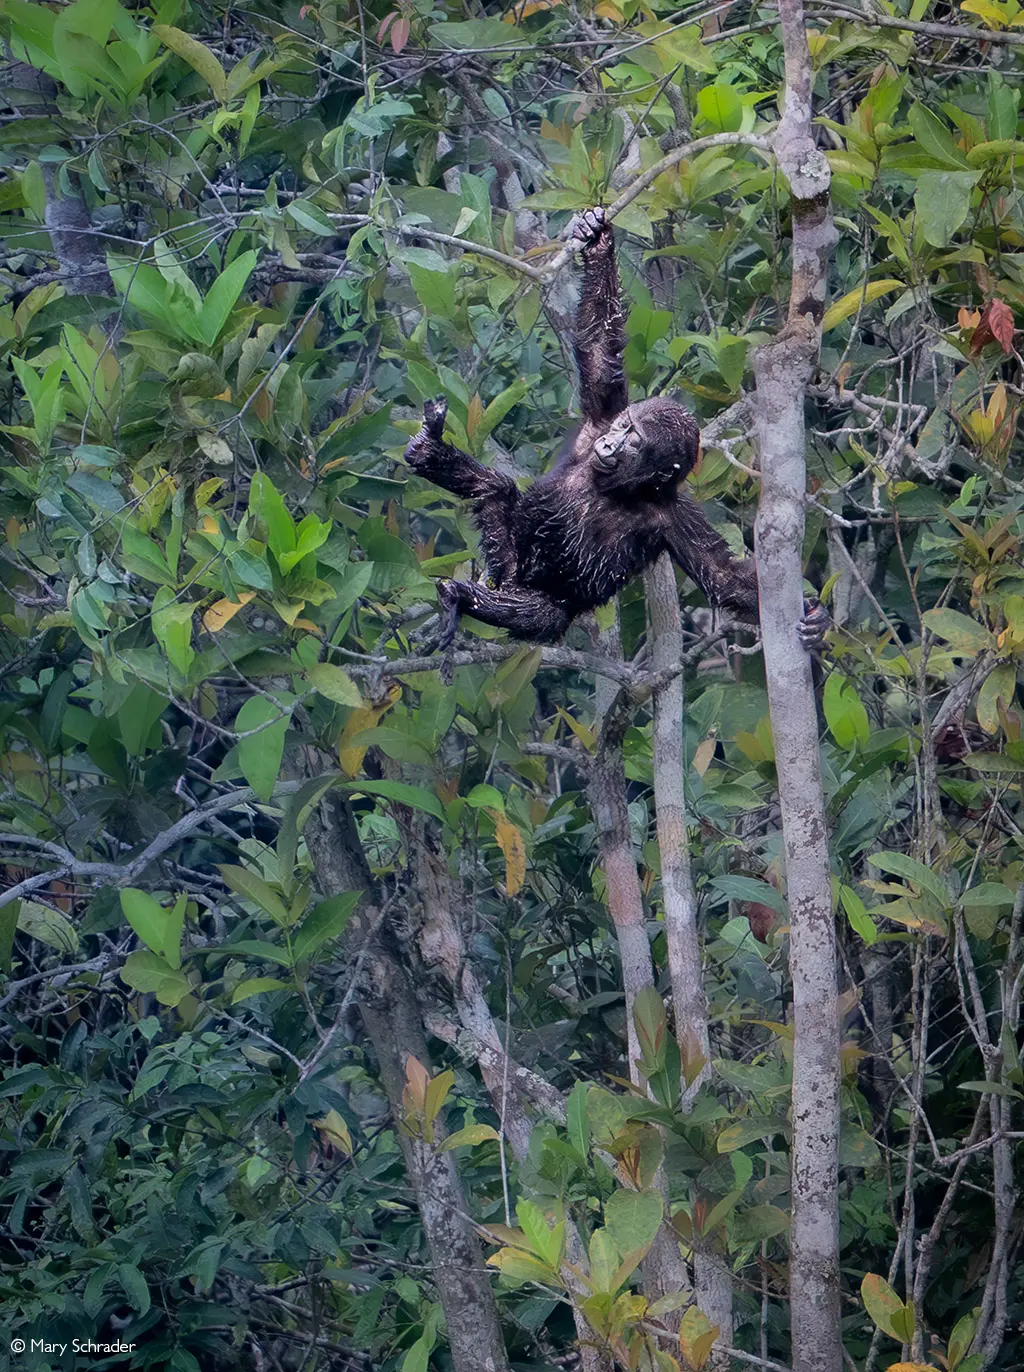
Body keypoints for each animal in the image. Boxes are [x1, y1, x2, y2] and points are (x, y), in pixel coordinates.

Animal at [402, 206, 828, 652]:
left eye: (635, 441)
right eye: (623, 427)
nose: (610, 444)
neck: (621, 487)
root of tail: (509, 577)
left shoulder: (678, 516)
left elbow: (722, 574)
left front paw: (816, 620)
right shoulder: (601, 416)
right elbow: (598, 349)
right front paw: (598, 239)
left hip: (523, 587)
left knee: (541, 610)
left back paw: (459, 595)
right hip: (506, 559)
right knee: (495, 490)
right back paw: (431, 453)